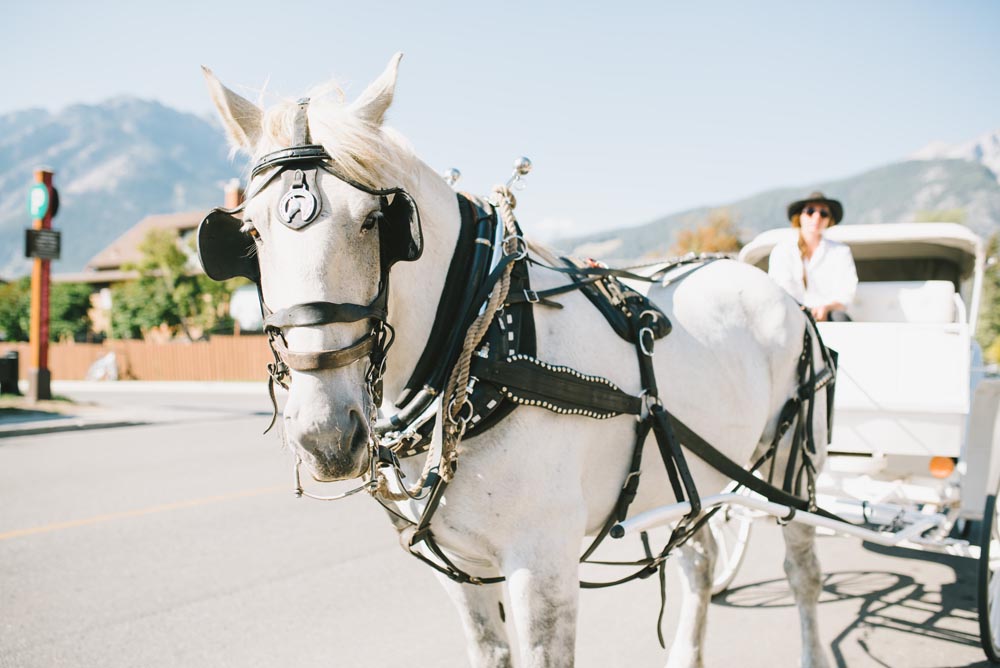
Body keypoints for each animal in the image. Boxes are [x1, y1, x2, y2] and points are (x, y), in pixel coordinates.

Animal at [199, 54, 832, 664]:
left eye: (376, 220)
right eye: (250, 234)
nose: (325, 436)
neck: (481, 341)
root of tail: (772, 286)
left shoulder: (543, 561)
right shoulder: (461, 567)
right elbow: (490, 650)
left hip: (790, 469)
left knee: (802, 570)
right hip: (689, 475)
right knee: (698, 558)